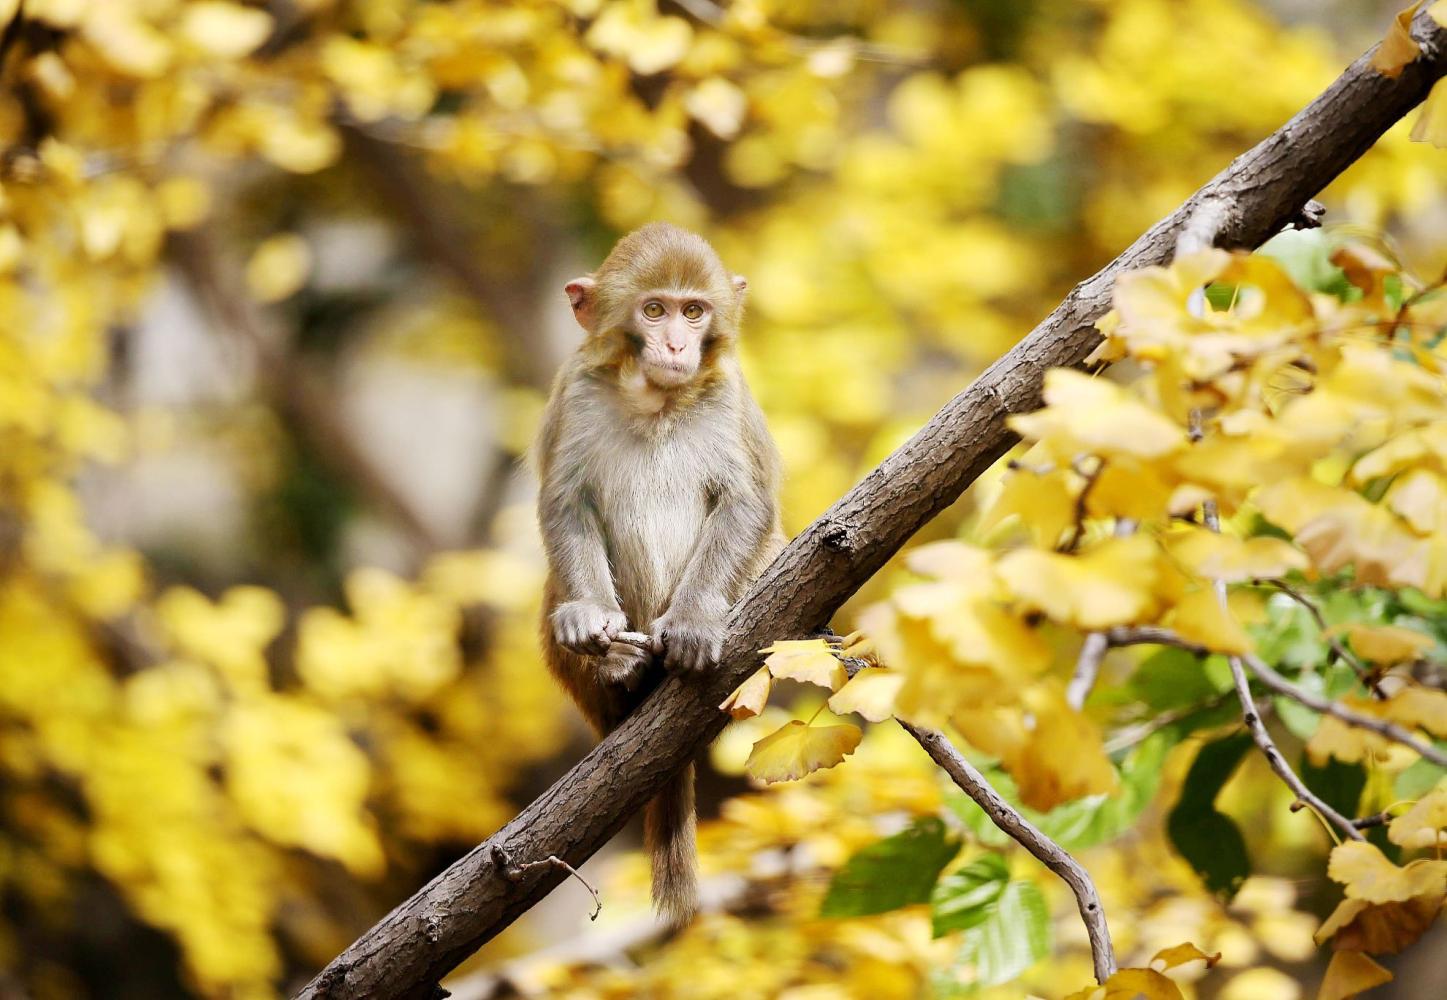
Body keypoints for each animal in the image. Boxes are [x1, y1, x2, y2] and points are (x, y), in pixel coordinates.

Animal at [532, 222, 781, 926]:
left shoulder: (727, 397)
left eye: (693, 312)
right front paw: (591, 620)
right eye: (654, 310)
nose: (675, 344)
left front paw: (695, 623)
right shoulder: (577, 390)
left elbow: (747, 505)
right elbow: (565, 503)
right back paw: (622, 673)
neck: (655, 398)